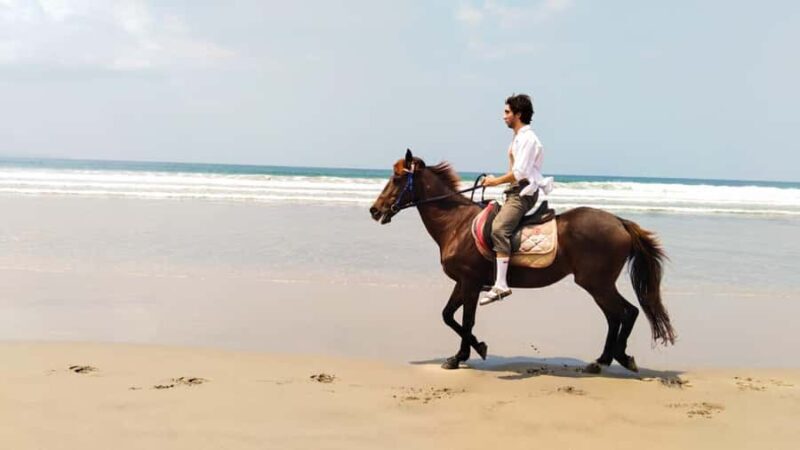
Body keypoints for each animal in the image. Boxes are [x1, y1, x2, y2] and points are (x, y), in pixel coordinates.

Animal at [369, 150, 675, 373]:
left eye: (397, 178)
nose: (374, 210)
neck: (456, 224)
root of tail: (620, 222)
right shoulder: (463, 282)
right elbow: (449, 316)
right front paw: (471, 350)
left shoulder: (470, 282)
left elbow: (466, 320)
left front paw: (465, 354)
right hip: (597, 284)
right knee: (616, 316)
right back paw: (602, 360)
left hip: (596, 283)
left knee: (626, 313)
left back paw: (619, 358)